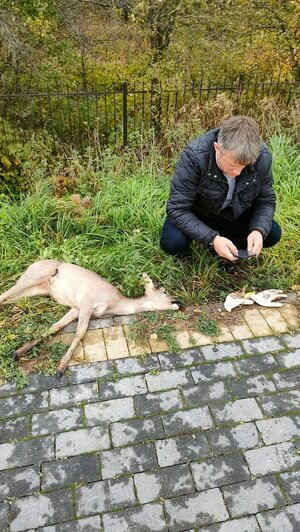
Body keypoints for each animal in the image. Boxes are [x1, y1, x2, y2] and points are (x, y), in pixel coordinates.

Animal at [0, 260, 179, 376]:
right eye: (164, 292)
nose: (178, 302)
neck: (115, 303)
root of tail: (34, 263)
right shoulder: (87, 301)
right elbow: (80, 332)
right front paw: (61, 368)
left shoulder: (76, 308)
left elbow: (55, 327)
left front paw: (18, 351)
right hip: (31, 277)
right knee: (4, 294)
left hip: (37, 290)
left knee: (7, 299)